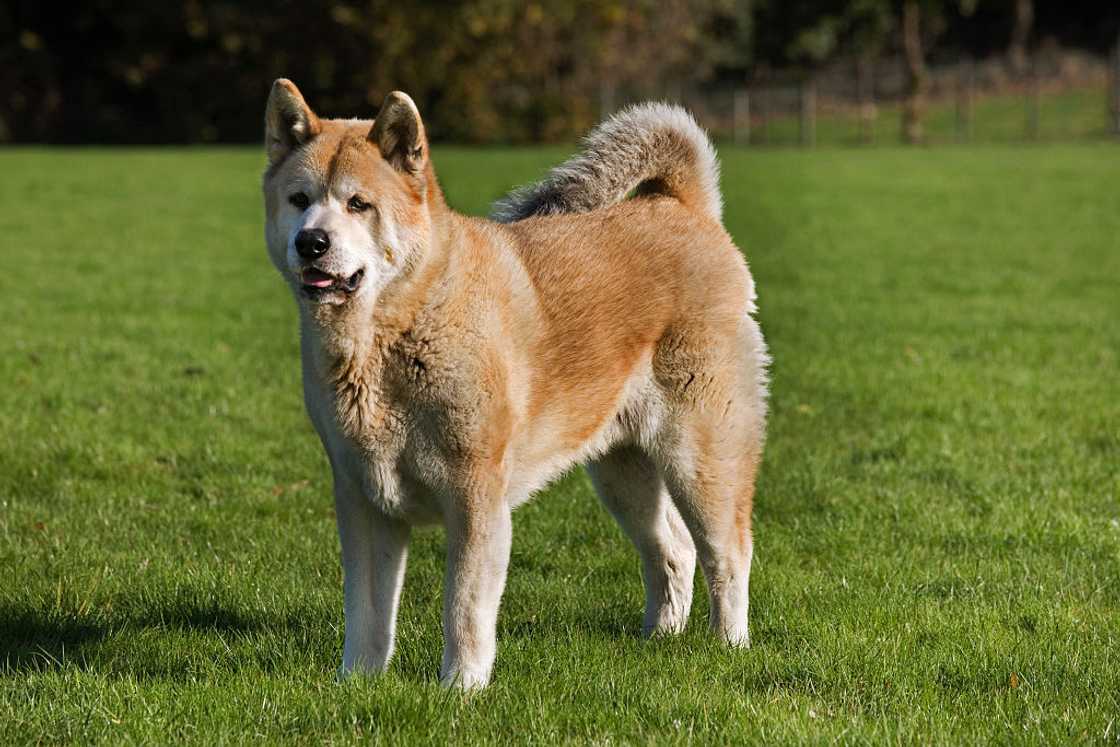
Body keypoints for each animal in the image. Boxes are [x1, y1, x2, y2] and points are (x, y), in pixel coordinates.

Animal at [262, 80, 770, 689]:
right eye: (299, 200)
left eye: (359, 204)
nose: (311, 242)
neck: (398, 328)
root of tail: (684, 207)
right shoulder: (364, 500)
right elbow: (366, 612)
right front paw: (357, 686)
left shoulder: (475, 498)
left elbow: (463, 608)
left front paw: (460, 690)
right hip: (622, 470)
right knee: (672, 548)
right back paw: (660, 637)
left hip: (702, 456)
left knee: (728, 552)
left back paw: (728, 647)